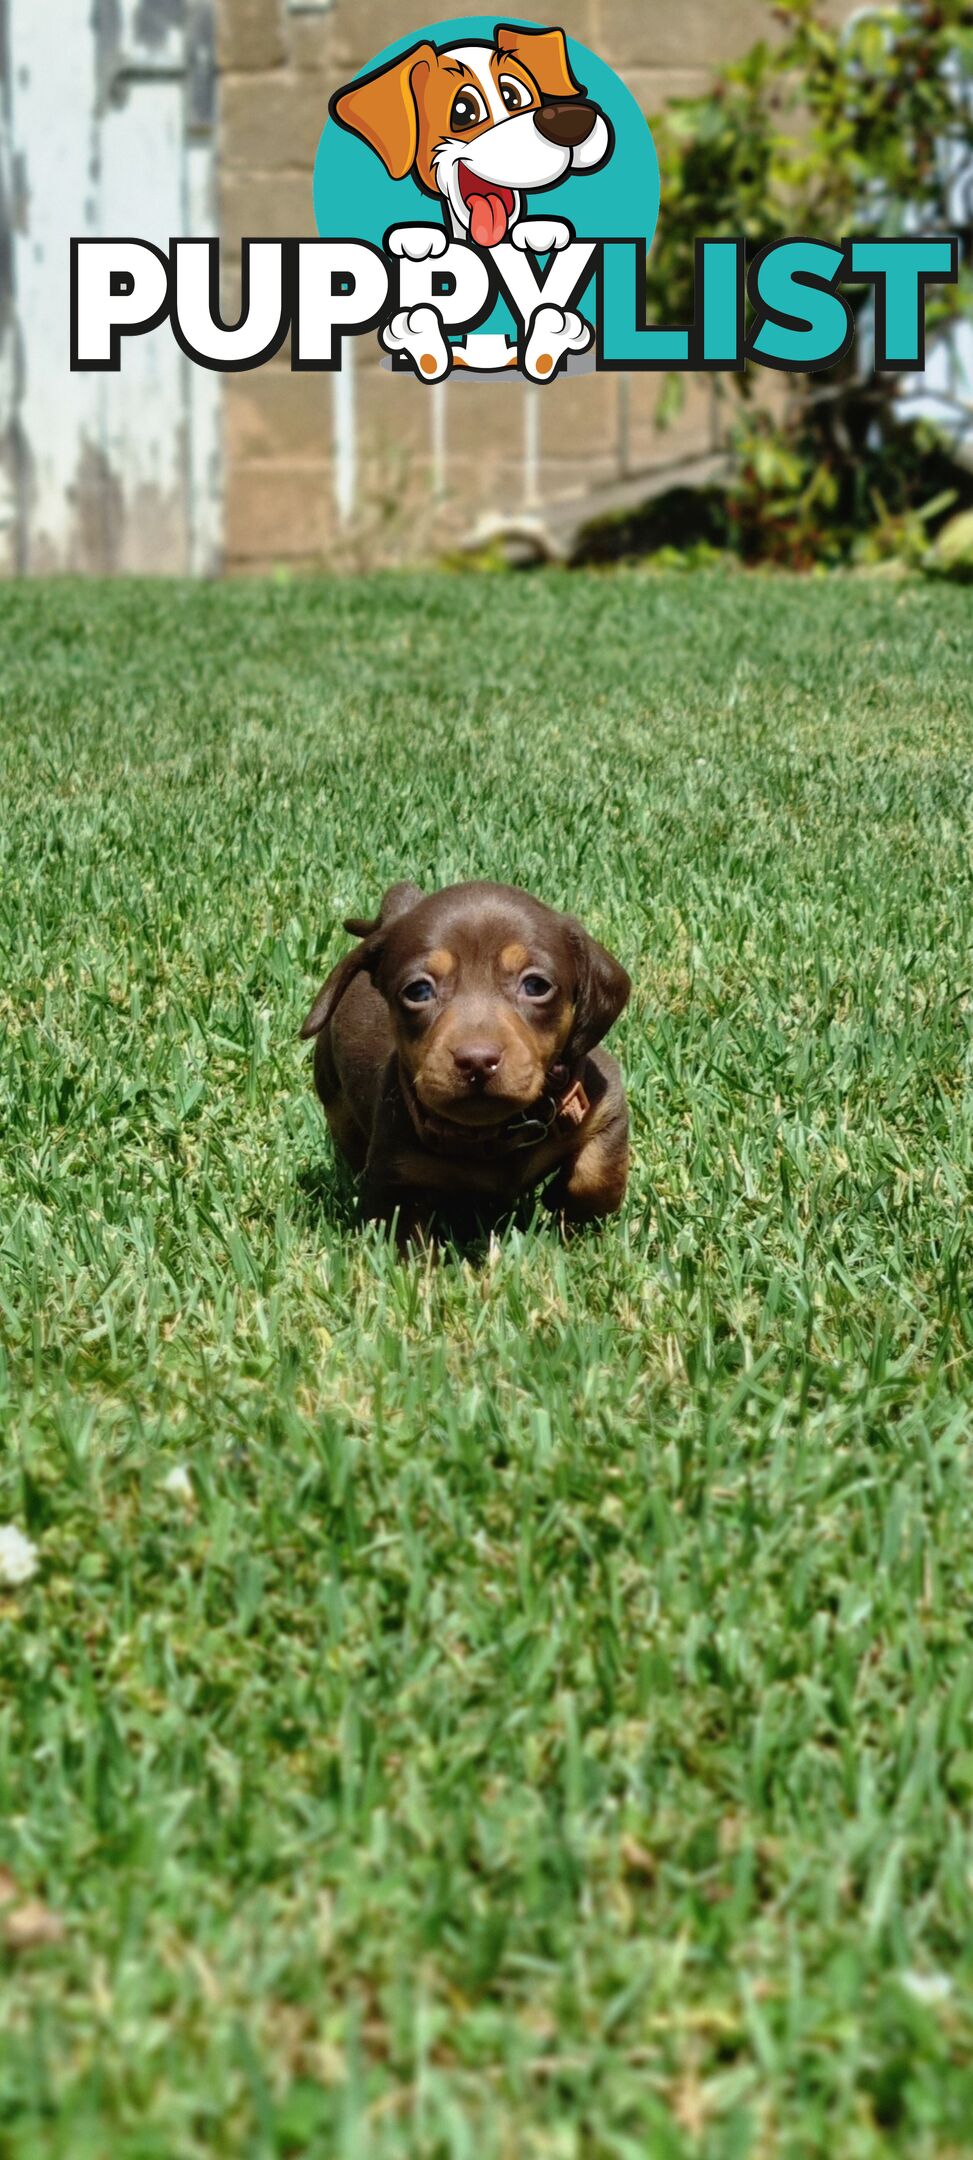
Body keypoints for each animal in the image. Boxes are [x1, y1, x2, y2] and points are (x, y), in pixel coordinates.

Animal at [300, 876, 631, 1244]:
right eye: (418, 991)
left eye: (536, 985)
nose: (476, 1061)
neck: (490, 1134)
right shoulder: (394, 1177)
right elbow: (402, 1241)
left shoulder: (605, 1101)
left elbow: (598, 1174)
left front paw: (562, 1201)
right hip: (336, 1099)